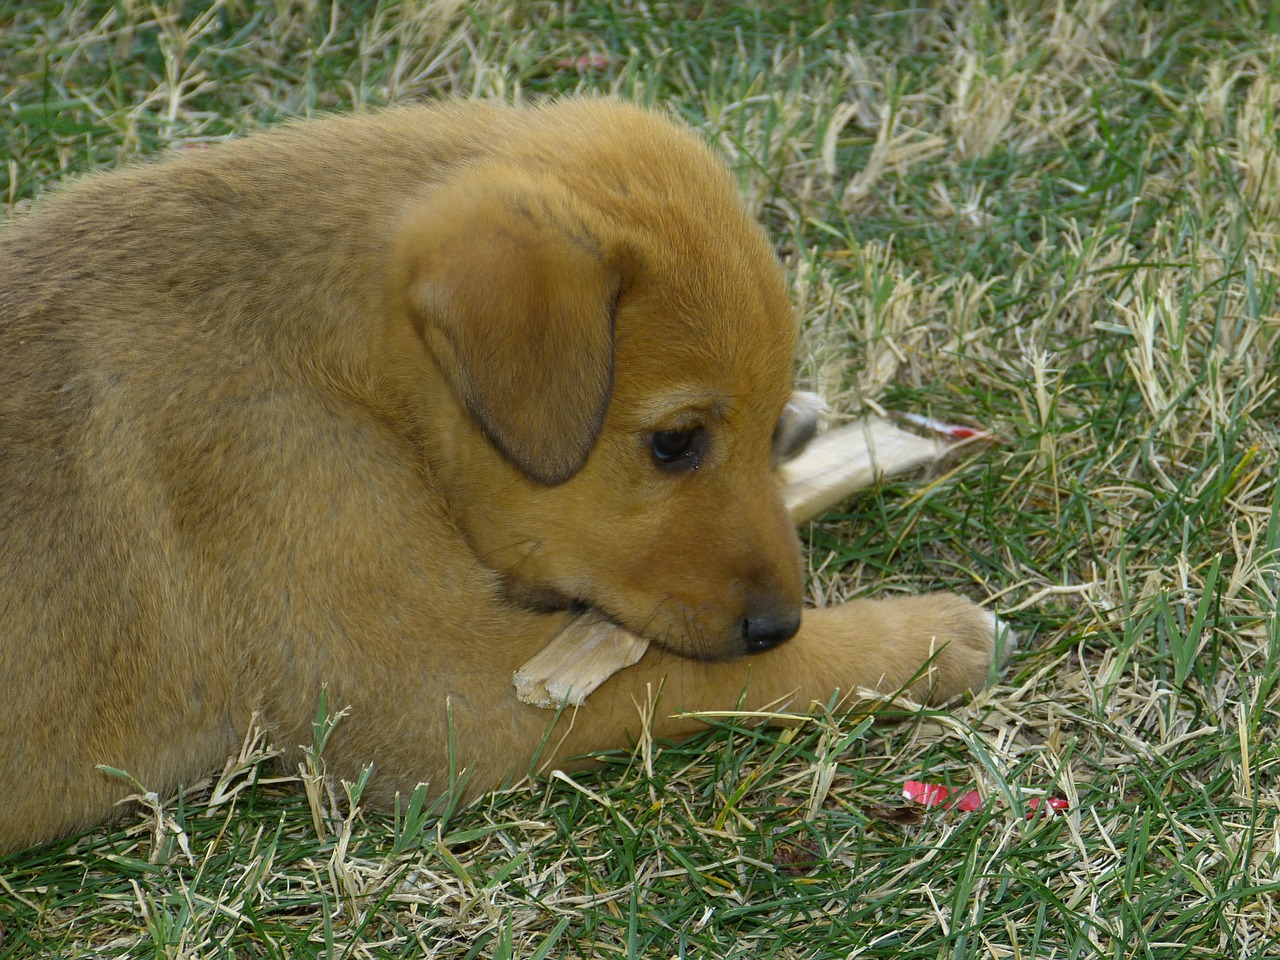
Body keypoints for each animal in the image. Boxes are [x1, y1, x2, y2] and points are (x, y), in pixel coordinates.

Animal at [0, 101, 998, 855]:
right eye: (675, 442)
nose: (775, 621)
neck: (345, 362)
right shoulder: (444, 701)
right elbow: (703, 680)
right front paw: (928, 637)